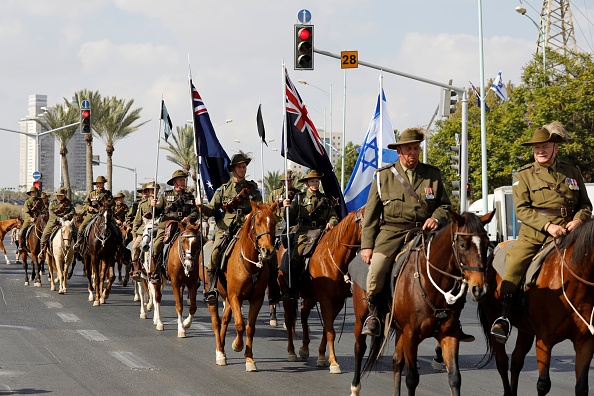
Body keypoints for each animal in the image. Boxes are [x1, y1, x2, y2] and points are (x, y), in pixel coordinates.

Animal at [201, 201, 278, 372]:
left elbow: (250, 327)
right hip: (213, 292)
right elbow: (240, 324)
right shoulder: (236, 296)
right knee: (216, 321)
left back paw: (222, 349)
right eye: (258, 222)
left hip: (228, 297)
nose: (267, 250)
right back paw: (219, 353)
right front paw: (237, 345)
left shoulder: (256, 299)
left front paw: (249, 359)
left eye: (274, 222)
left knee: (224, 320)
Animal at [276, 207, 364, 374]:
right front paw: (334, 362)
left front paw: (322, 357)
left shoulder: (337, 302)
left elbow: (326, 329)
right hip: (287, 293)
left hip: (310, 296)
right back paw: (291, 352)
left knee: (304, 313)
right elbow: (330, 331)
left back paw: (304, 348)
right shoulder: (325, 300)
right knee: (289, 320)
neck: (334, 258)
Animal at [350, 212, 492, 396]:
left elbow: (455, 377)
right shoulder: (411, 334)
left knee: (396, 360)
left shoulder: (449, 333)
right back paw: (355, 387)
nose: (479, 289)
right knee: (359, 348)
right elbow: (412, 378)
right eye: (463, 245)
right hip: (362, 319)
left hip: (399, 328)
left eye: (487, 244)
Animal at [474, 217, 592, 396]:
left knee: (516, 361)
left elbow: (581, 387)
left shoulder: (585, 342)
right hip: (492, 319)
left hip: (526, 330)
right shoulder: (544, 340)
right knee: (502, 362)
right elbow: (543, 384)